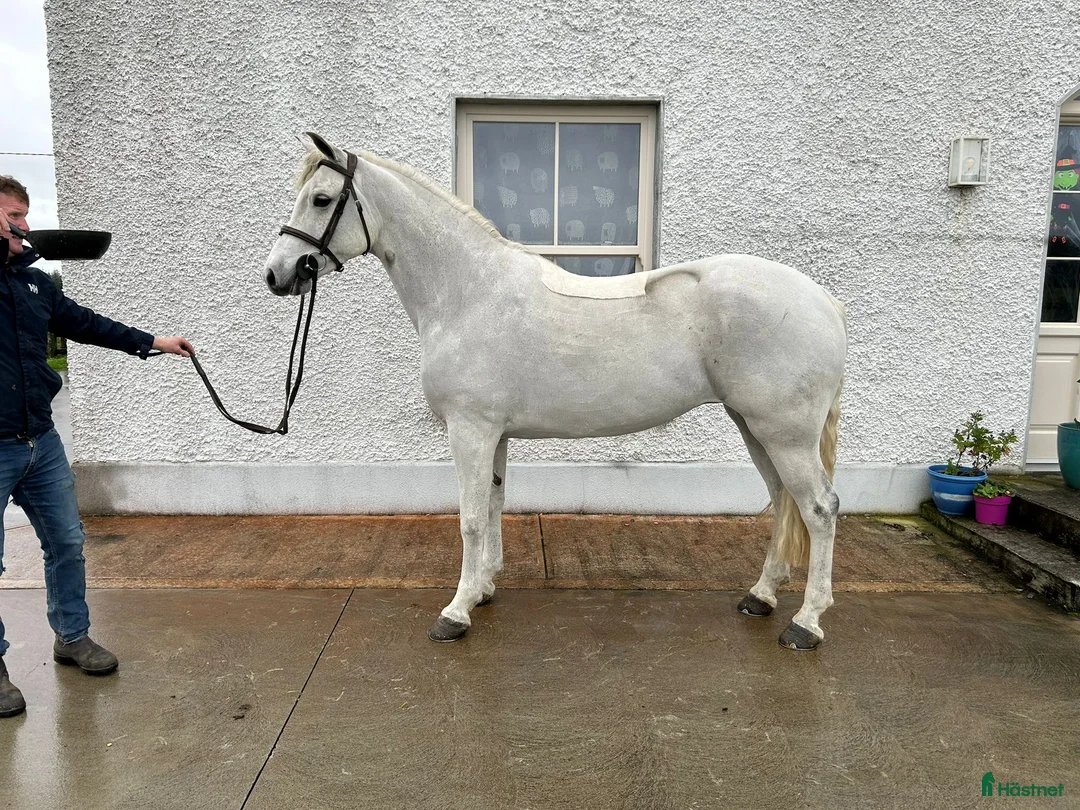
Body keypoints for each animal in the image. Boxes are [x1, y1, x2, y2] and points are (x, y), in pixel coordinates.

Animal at [263, 132, 847, 651]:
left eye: (320, 199)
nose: (276, 274)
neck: (468, 292)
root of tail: (823, 301)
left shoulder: (470, 430)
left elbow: (469, 518)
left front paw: (454, 613)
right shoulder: (493, 433)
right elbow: (493, 504)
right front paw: (482, 590)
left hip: (784, 434)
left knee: (819, 508)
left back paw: (806, 624)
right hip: (754, 426)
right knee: (783, 502)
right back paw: (761, 596)